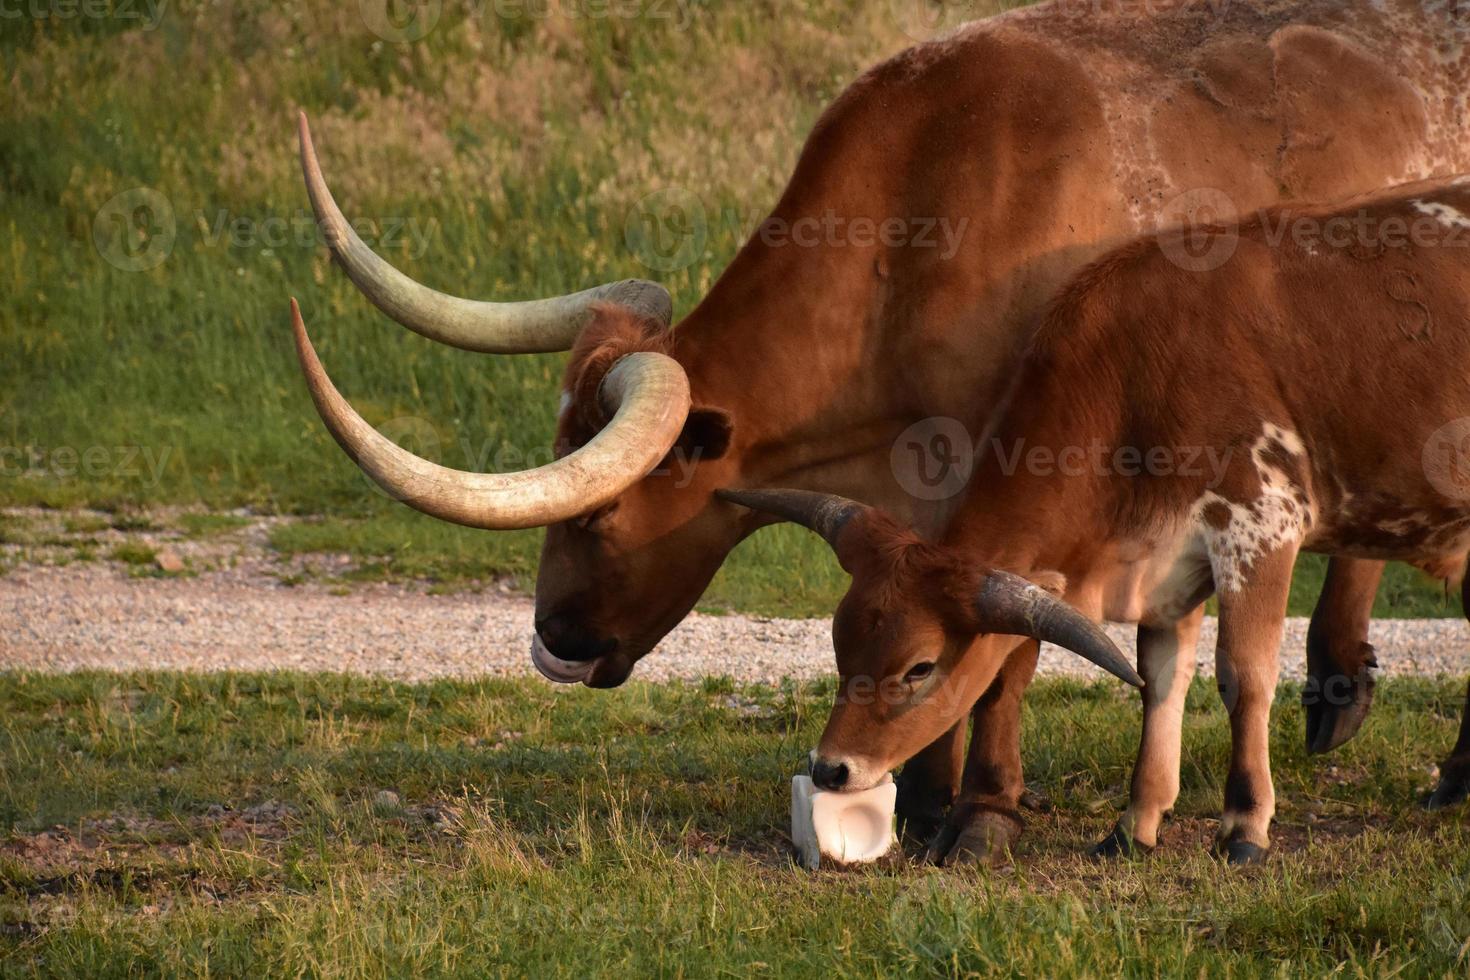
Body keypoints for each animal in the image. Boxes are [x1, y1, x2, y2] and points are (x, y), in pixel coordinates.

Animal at [726, 176, 1470, 863]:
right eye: (840, 639)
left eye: (920, 667)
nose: (831, 767)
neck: (1140, 368)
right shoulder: (1168, 566)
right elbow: (1160, 683)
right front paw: (1136, 822)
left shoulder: (1260, 524)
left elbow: (1244, 677)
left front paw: (1244, 825)